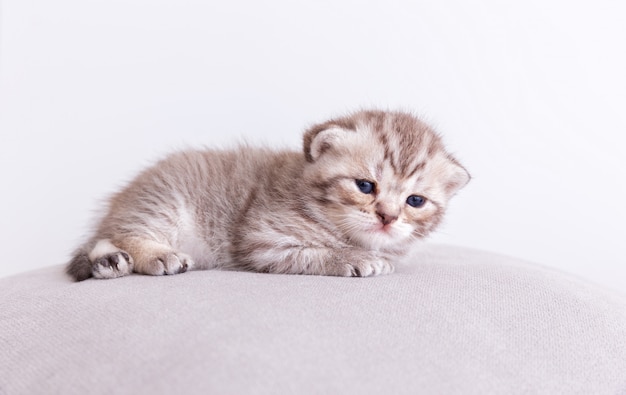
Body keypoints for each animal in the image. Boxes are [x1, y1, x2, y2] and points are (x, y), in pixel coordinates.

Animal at [67, 109, 468, 282]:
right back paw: (153, 256)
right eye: (365, 186)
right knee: (123, 233)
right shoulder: (262, 240)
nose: (387, 216)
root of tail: (123, 199)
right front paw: (353, 259)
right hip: (162, 203)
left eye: (415, 201)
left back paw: (109, 263)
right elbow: (313, 253)